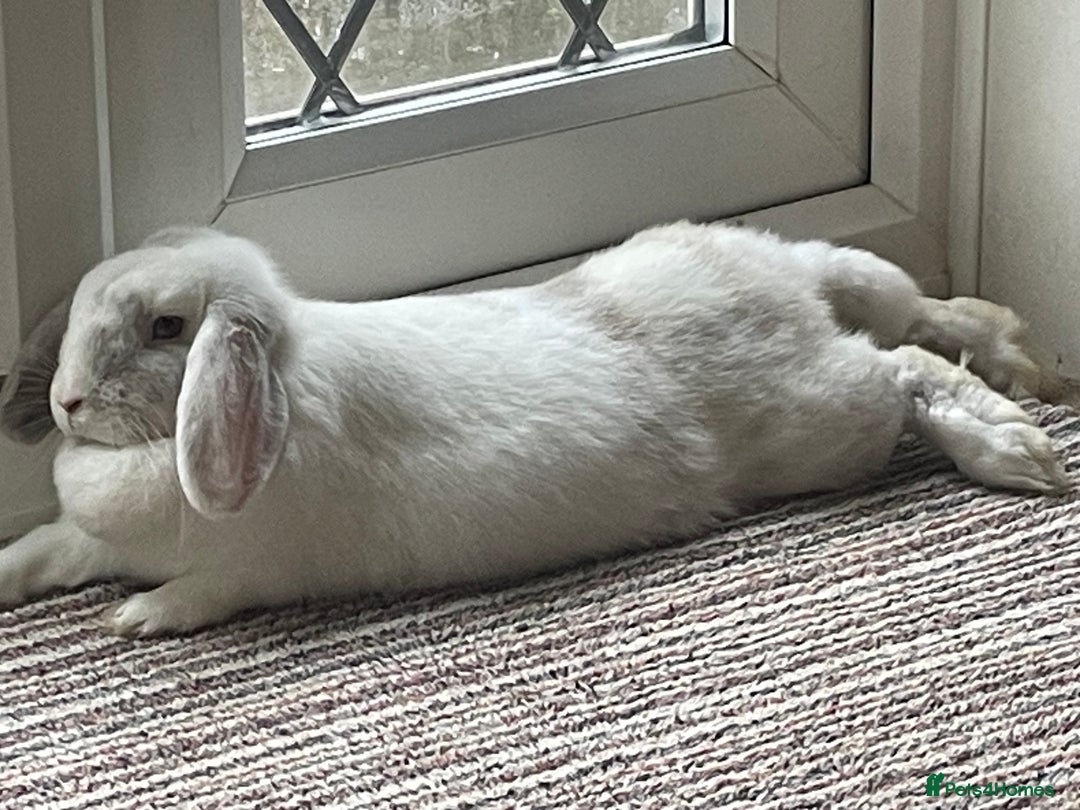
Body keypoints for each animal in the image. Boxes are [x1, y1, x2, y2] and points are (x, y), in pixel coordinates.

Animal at [0, 222, 1072, 637]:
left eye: (166, 328)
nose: (64, 405)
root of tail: (791, 287)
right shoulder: (81, 540)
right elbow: (40, 553)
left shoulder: (255, 571)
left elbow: (202, 593)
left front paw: (138, 618)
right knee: (920, 317)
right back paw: (1020, 371)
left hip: (820, 424)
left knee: (904, 370)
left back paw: (1017, 449)